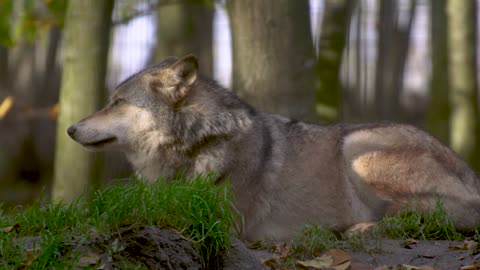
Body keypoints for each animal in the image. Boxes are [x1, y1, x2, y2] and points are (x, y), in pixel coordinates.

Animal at [68, 54, 480, 243]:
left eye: (116, 102)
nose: (70, 129)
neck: (200, 143)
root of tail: (472, 175)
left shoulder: (221, 221)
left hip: (356, 147)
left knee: (429, 215)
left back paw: (358, 227)